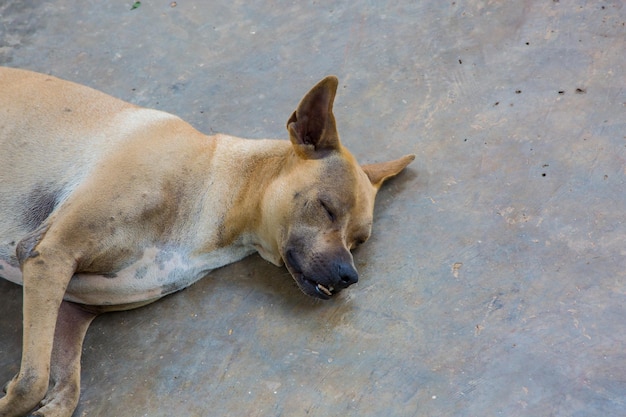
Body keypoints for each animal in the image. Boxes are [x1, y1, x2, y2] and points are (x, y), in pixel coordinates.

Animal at [0, 67, 412, 416]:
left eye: (359, 240)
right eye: (326, 208)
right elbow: (32, 383)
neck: (213, 185)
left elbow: (60, 390)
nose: (349, 277)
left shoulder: (72, 306)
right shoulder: (49, 255)